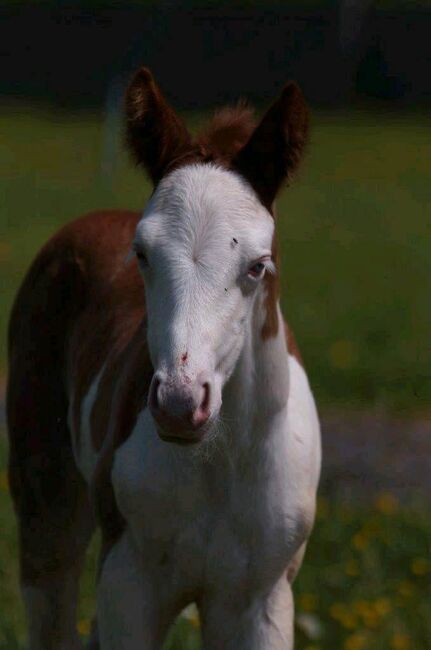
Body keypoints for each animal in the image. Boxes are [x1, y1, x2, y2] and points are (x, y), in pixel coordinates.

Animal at [7, 67, 320, 648]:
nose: (179, 404)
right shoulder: (129, 584)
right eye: (142, 254)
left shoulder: (260, 602)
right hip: (47, 503)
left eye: (257, 265)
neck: (220, 461)